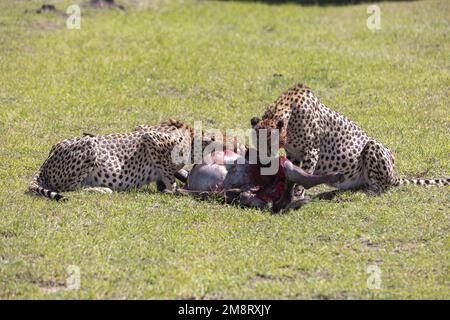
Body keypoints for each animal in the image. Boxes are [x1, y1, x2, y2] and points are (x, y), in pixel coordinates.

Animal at [27, 119, 211, 201]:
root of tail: (49, 155)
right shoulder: (151, 137)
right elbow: (168, 174)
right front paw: (174, 189)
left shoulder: (142, 129)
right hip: (89, 146)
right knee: (69, 188)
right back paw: (100, 189)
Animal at [251, 82, 448, 194]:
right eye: (256, 142)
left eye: (268, 143)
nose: (261, 159)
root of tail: (395, 174)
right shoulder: (293, 154)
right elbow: (292, 173)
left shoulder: (311, 151)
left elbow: (304, 173)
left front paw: (297, 193)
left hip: (374, 146)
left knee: (383, 186)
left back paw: (370, 191)